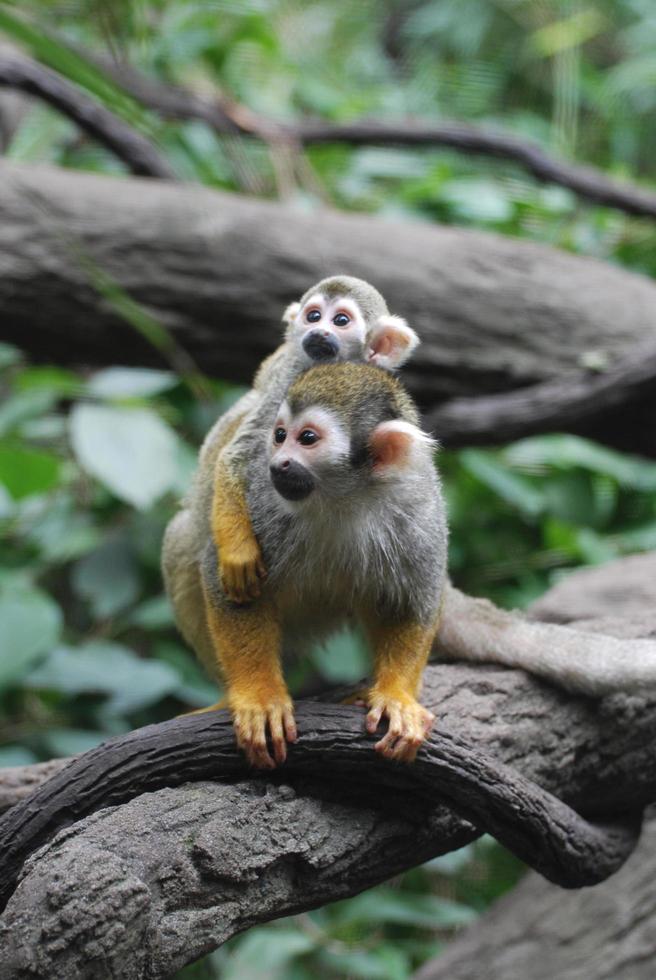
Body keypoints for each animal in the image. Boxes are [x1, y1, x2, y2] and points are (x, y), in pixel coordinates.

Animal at [208, 276, 418, 604]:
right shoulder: (287, 381)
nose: (318, 330)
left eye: (341, 320)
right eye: (314, 315)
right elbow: (239, 453)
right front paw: (238, 553)